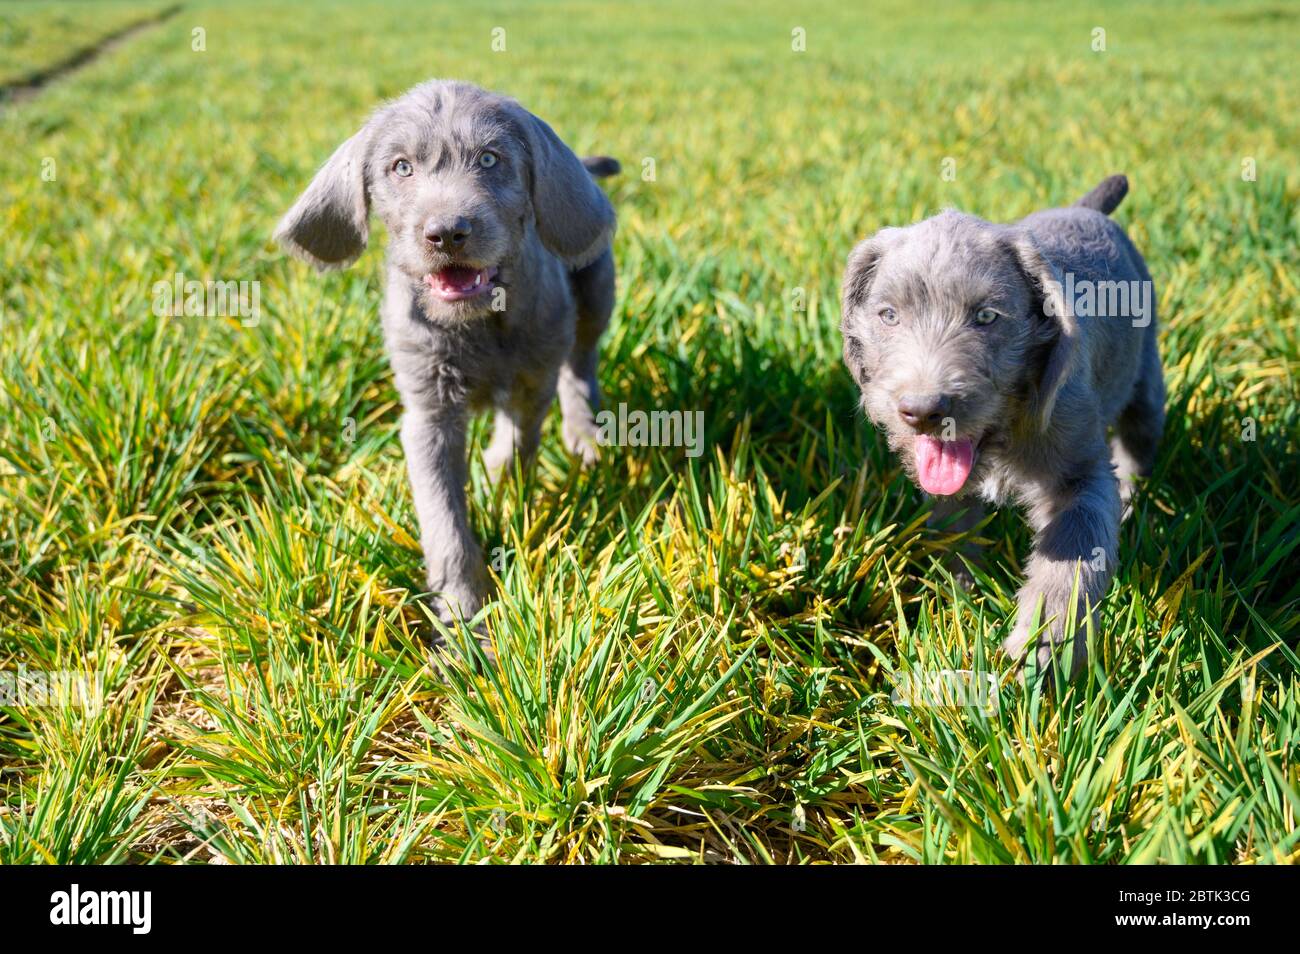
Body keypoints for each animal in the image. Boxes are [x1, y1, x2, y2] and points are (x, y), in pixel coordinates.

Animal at [275, 80, 618, 629]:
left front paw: (498, 477)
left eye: (490, 159)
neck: (476, 322)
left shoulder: (532, 380)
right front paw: (461, 609)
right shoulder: (428, 414)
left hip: (596, 291)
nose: (447, 232)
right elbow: (444, 518)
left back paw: (584, 433)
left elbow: (518, 444)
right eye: (401, 167)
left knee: (580, 363)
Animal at [842, 174, 1170, 681]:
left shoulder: (1081, 471)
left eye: (986, 317)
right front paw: (957, 596)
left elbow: (1075, 550)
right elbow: (953, 528)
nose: (923, 410)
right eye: (888, 315)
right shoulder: (947, 488)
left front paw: (1045, 646)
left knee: (1139, 440)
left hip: (1146, 379)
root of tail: (1086, 209)